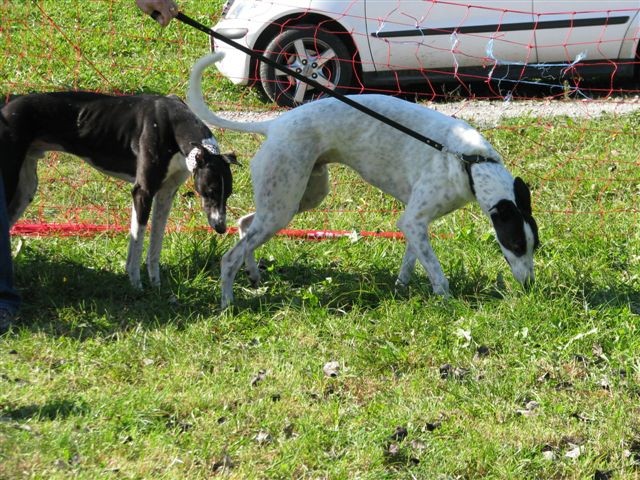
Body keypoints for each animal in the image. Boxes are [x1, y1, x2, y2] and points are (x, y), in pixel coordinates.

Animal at [0, 93, 238, 288]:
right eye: (210, 191)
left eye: (227, 194)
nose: (221, 228)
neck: (174, 122)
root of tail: (5, 109)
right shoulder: (143, 192)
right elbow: (138, 242)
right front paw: (136, 285)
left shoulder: (165, 195)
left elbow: (155, 244)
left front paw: (156, 285)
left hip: (25, 189)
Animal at [188, 52, 536, 308]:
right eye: (516, 244)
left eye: (536, 246)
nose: (530, 286)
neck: (469, 162)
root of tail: (274, 125)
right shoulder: (414, 220)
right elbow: (437, 272)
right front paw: (446, 300)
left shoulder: (414, 223)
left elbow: (412, 260)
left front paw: (402, 287)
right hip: (283, 205)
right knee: (229, 257)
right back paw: (228, 303)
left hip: (298, 197)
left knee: (245, 224)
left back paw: (253, 275)